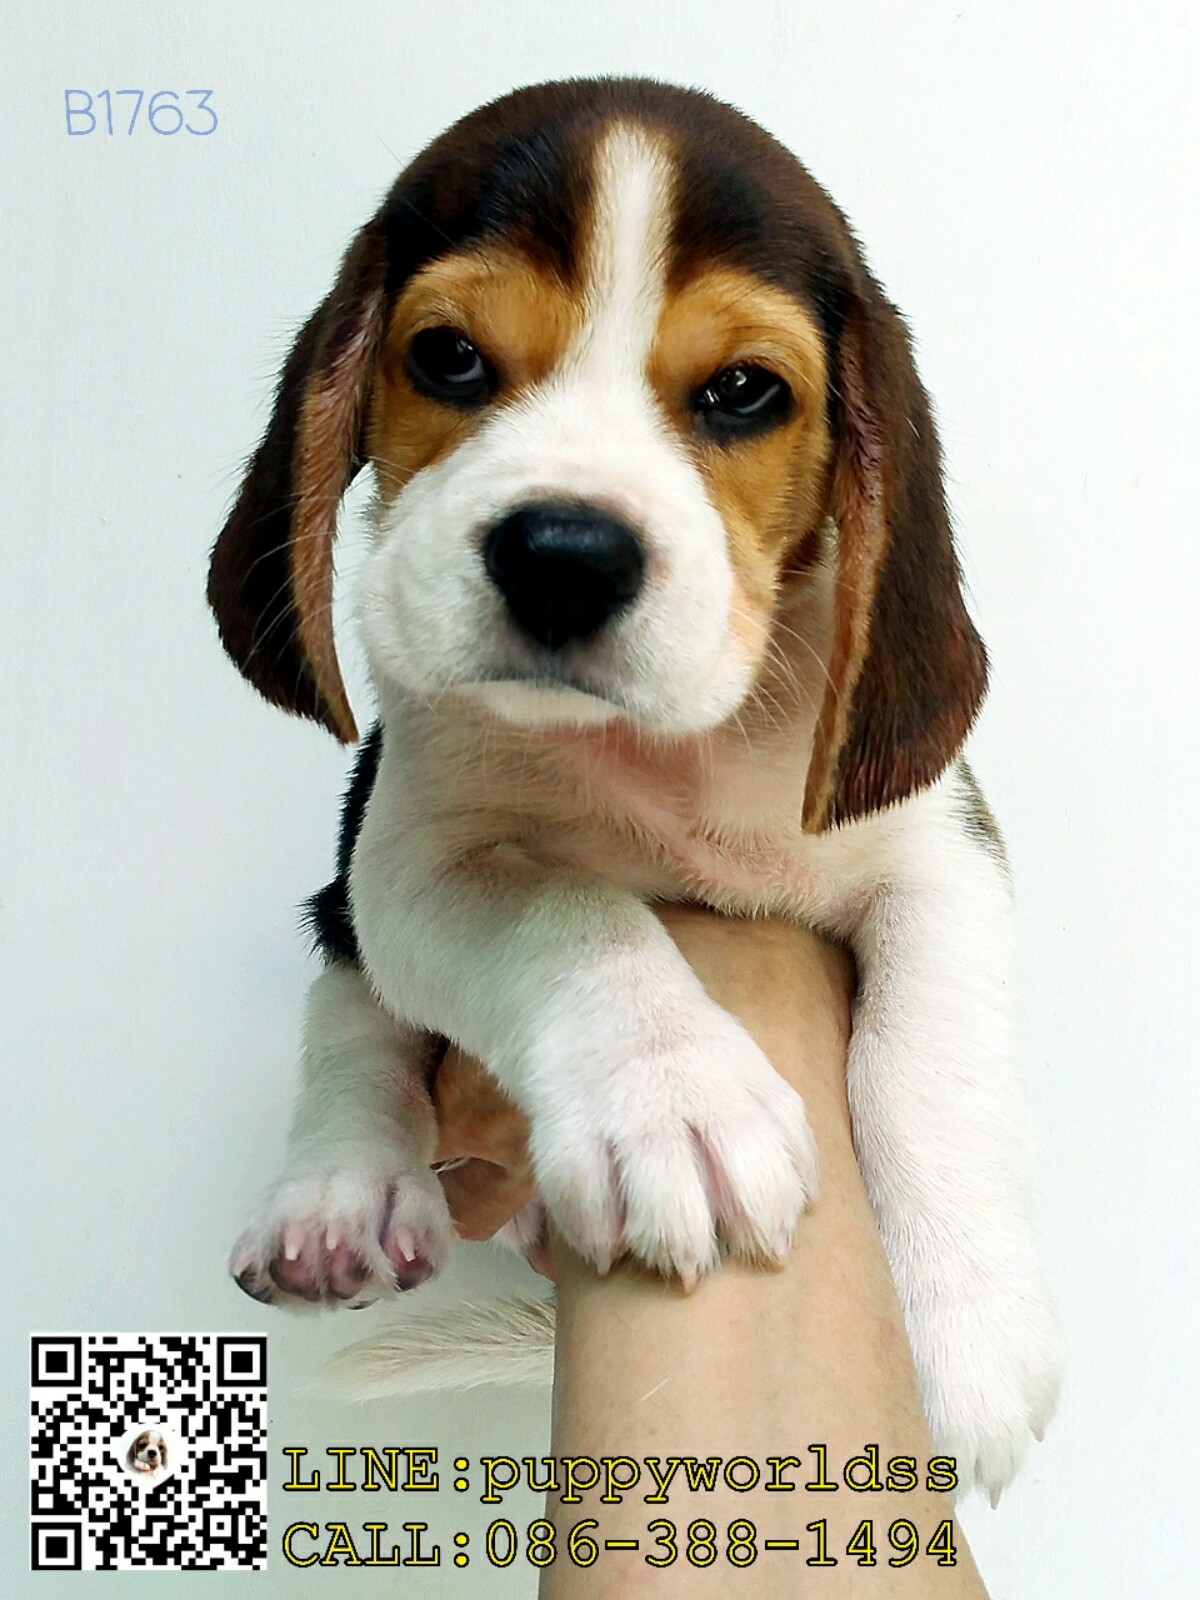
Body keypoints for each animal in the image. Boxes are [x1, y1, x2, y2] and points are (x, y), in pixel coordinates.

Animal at [209, 77, 1061, 1502]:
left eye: (743, 391)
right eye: (447, 359)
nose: (564, 554)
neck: (668, 752)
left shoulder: (943, 853)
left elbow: (924, 1062)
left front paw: (968, 1337)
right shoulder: (410, 860)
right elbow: (571, 915)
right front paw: (673, 1096)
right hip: (342, 910)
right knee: (350, 1034)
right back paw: (337, 1200)